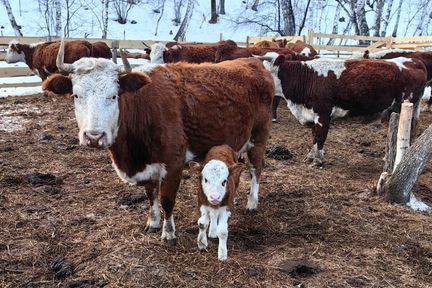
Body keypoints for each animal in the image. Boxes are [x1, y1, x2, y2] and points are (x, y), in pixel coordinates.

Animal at [42, 38, 276, 245]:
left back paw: (252, 203)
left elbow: (166, 200)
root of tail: (252, 62)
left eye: (114, 96)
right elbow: (150, 194)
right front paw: (153, 222)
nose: (94, 136)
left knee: (256, 168)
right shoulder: (147, 164)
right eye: (76, 95)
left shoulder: (174, 164)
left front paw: (169, 233)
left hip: (258, 138)